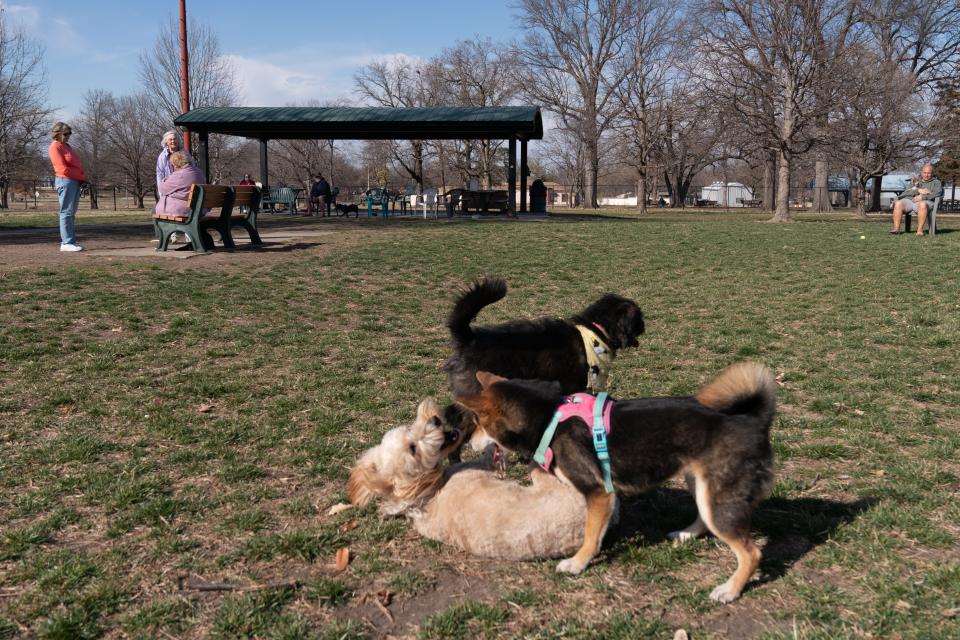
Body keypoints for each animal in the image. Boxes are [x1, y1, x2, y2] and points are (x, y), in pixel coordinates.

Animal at [344, 398, 584, 556]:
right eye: (413, 448)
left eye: (410, 429)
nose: (435, 420)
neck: (427, 492)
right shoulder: (481, 466)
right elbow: (490, 455)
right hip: (548, 479)